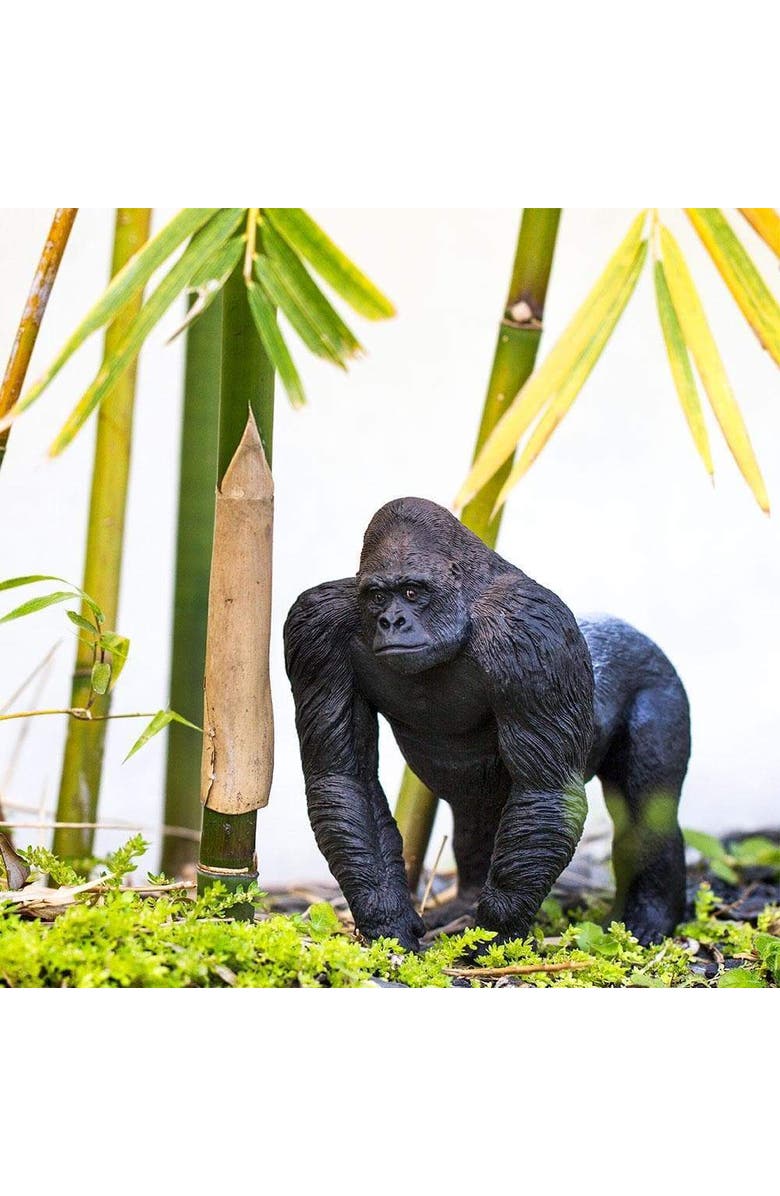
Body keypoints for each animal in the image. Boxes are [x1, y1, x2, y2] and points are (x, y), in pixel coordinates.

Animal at [284, 497, 689, 951]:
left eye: (412, 592)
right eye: (376, 596)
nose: (392, 622)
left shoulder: (531, 633)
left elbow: (544, 791)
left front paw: (499, 929)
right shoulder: (316, 631)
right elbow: (344, 778)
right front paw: (386, 917)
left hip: (659, 682)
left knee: (646, 808)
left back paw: (650, 915)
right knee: (474, 813)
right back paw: (464, 902)